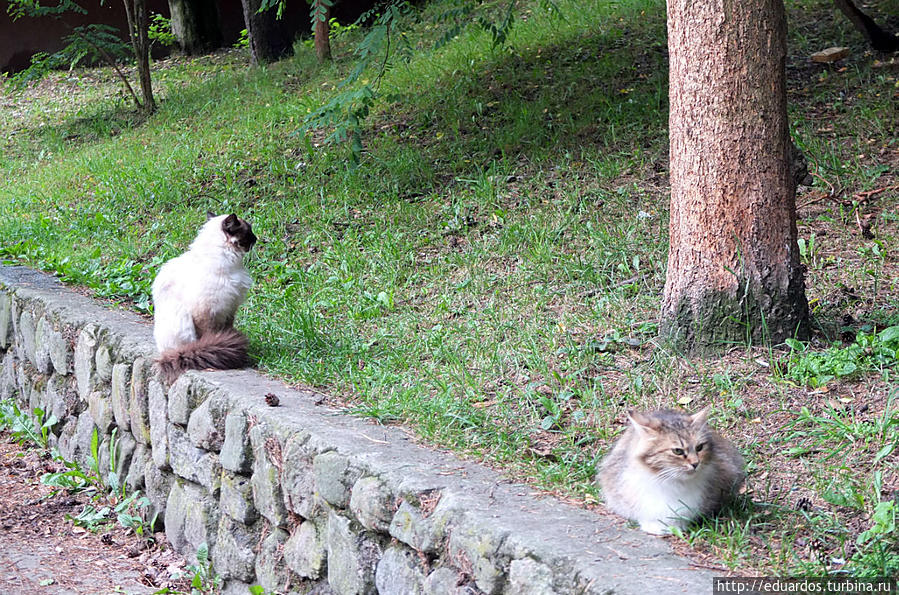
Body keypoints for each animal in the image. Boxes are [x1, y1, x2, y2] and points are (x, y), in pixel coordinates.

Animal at [152, 212, 256, 384]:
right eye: (249, 232)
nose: (256, 238)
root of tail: (163, 353)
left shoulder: (229, 308)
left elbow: (226, 330)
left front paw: (227, 339)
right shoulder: (207, 311)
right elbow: (209, 335)